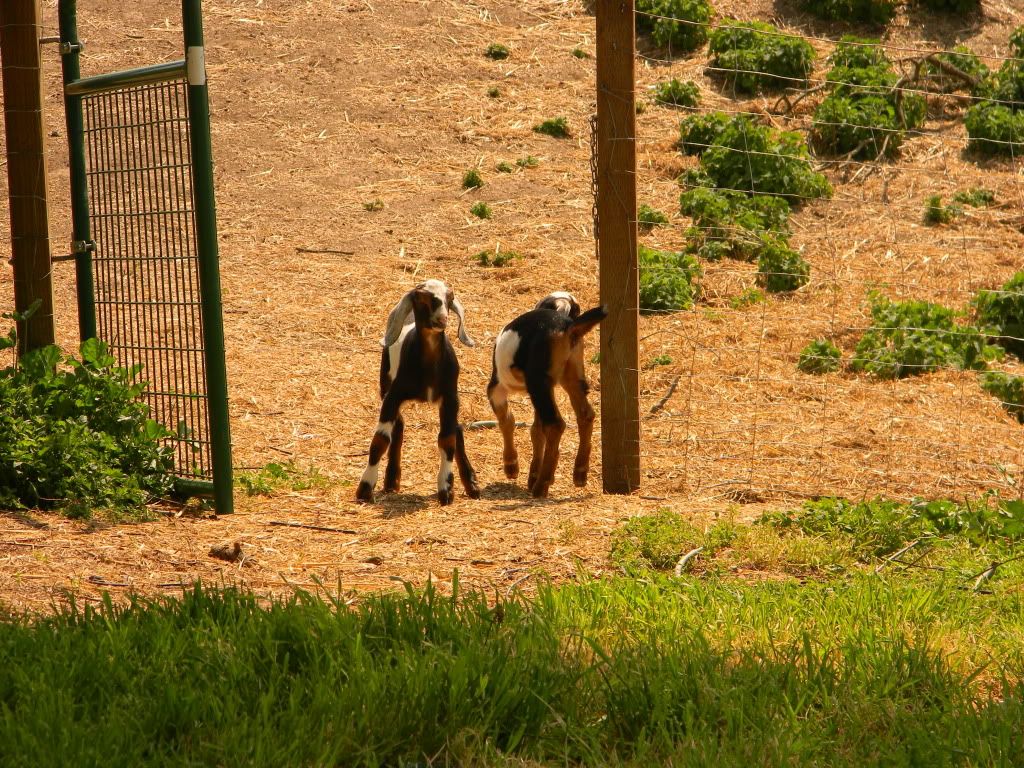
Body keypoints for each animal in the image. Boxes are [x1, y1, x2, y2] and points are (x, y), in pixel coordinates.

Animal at [356, 279, 481, 505]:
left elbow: (447, 439)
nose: (442, 319)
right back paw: (391, 481)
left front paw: (446, 489)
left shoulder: (450, 398)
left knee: (456, 428)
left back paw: (471, 484)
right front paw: (365, 488)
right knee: (398, 426)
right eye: (422, 298)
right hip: (385, 383)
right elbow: (380, 440)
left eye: (449, 298)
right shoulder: (393, 396)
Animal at [487, 292, 607, 498]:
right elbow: (536, 431)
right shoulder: (545, 391)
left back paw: (541, 485)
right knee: (585, 415)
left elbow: (506, 421)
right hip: (570, 378)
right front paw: (533, 474)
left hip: (537, 382)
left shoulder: (497, 389)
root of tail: (566, 326)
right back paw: (579, 472)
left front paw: (512, 466)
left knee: (556, 424)